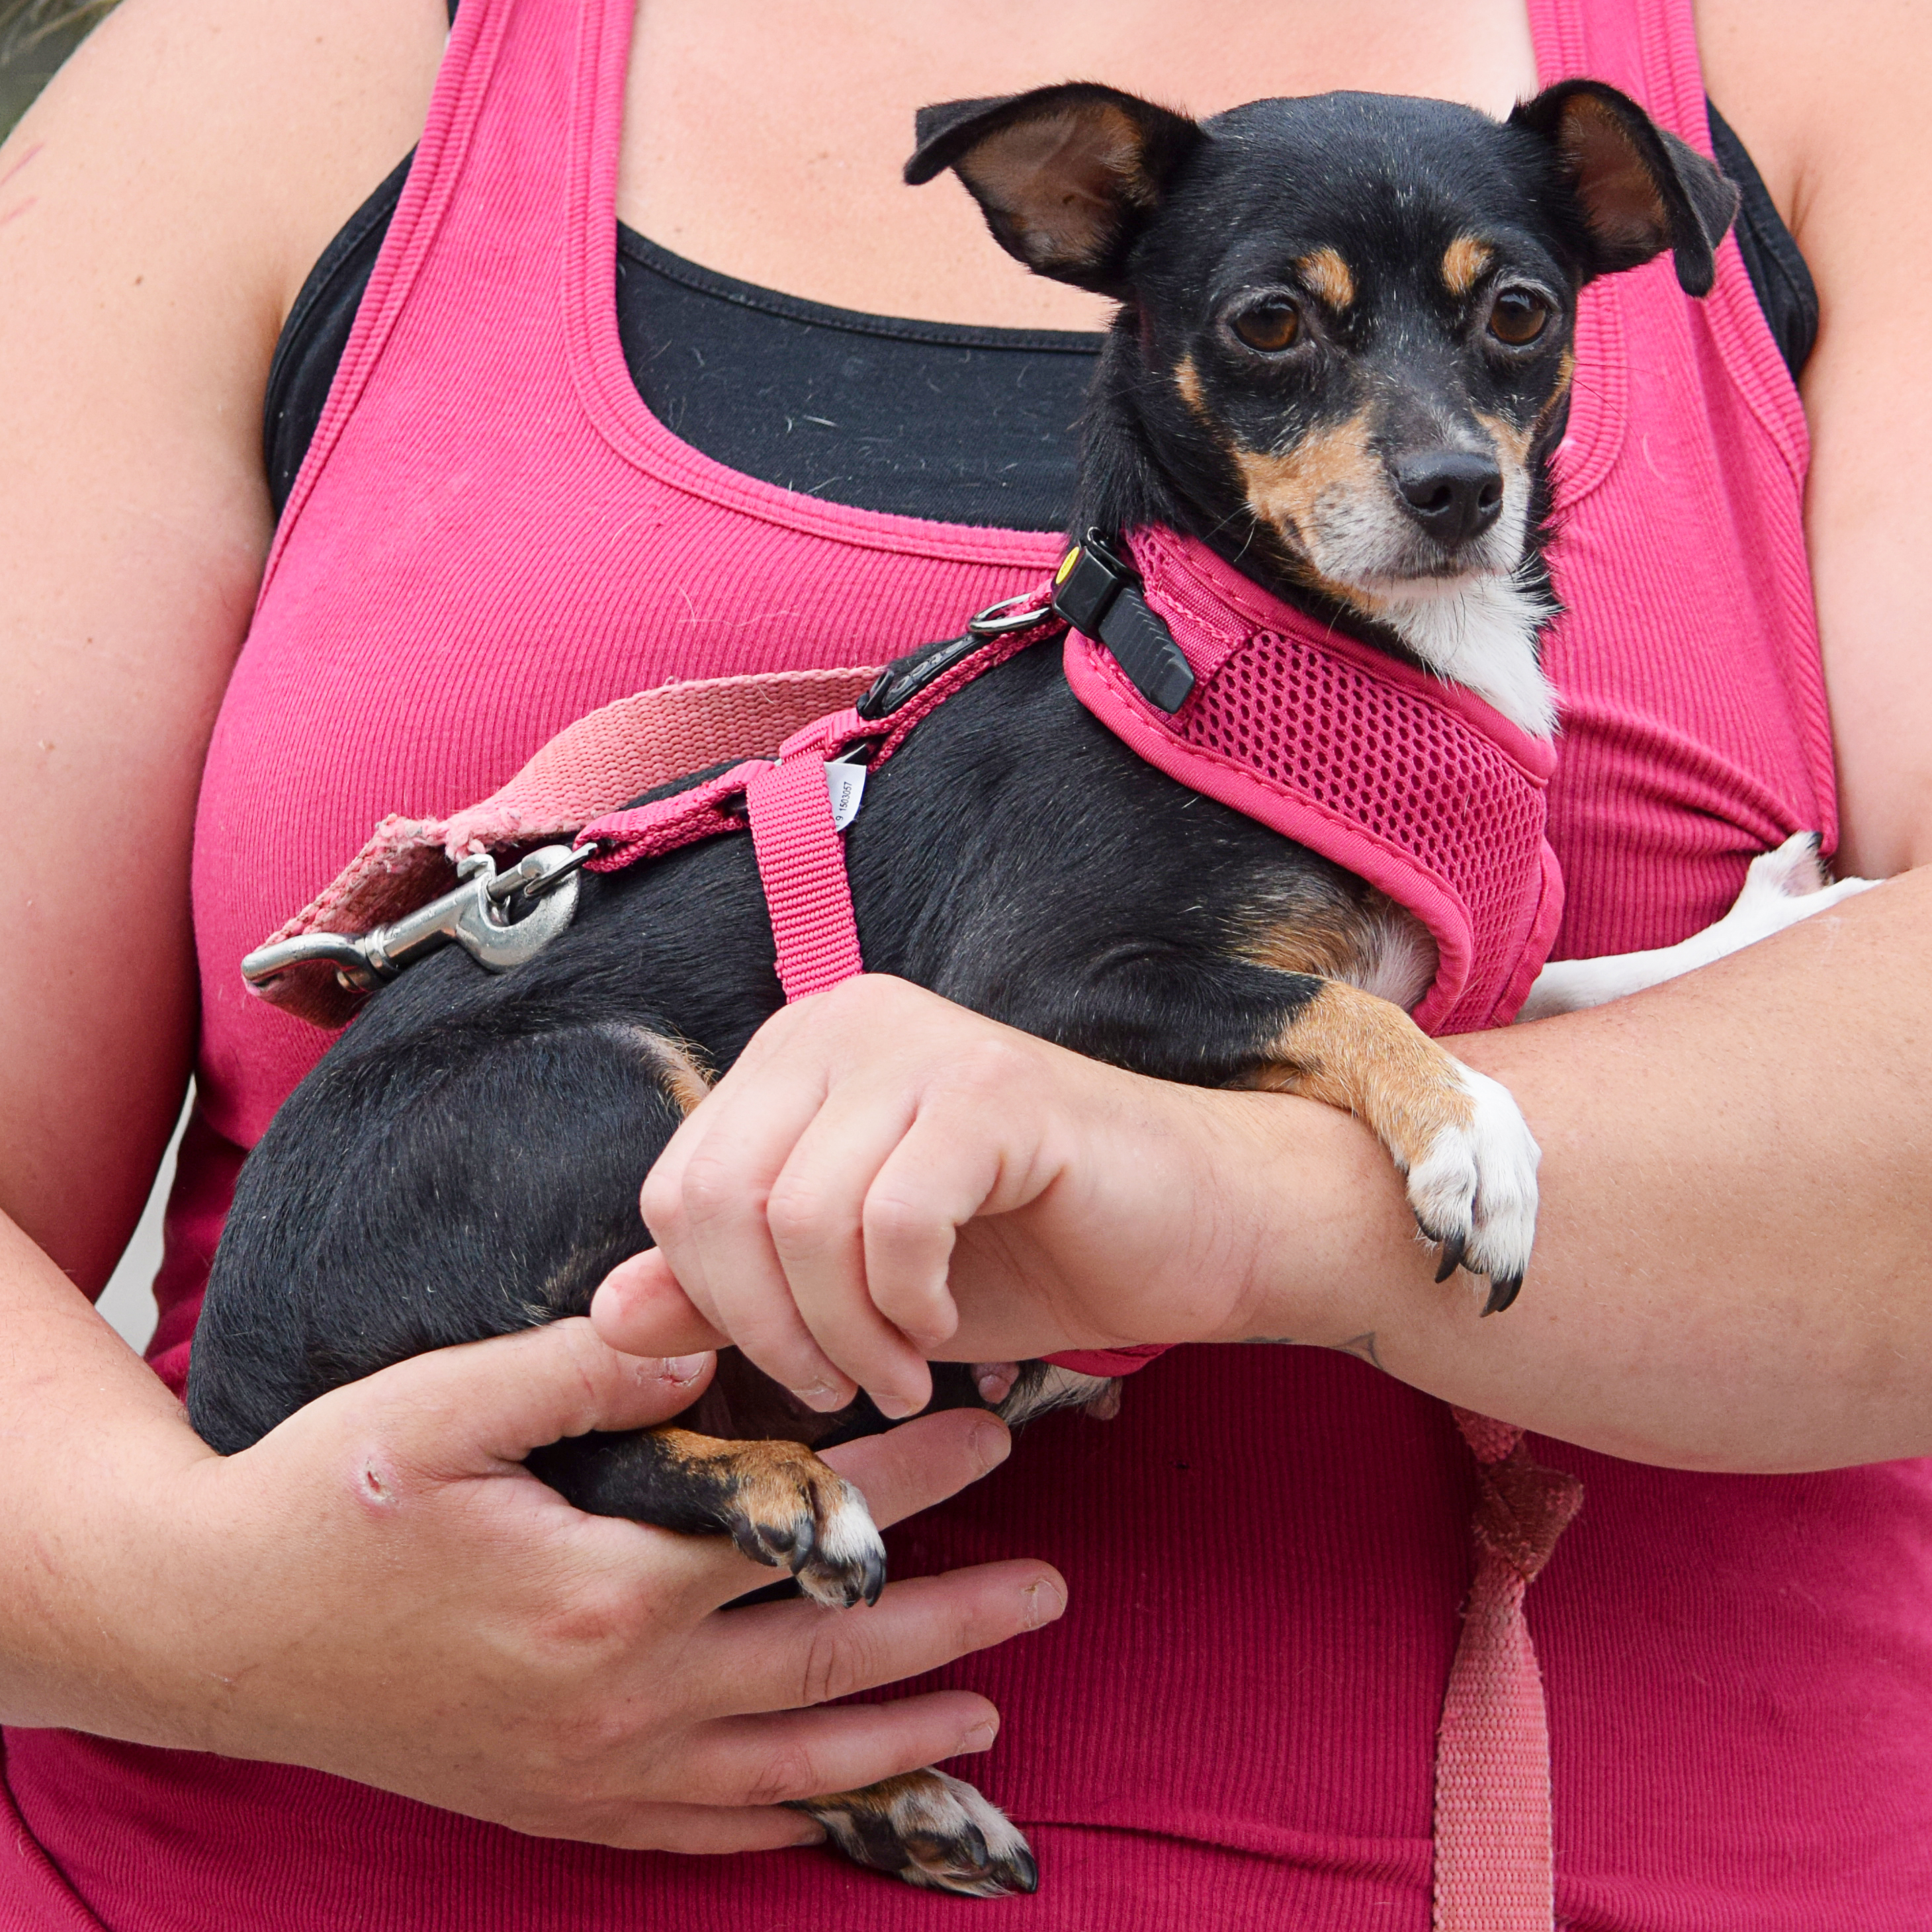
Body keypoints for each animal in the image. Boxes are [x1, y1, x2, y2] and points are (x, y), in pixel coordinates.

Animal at [188, 79, 1746, 1901]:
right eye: (1268, 325)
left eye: (1519, 313)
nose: (1454, 489)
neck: (1290, 654)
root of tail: (227, 1403)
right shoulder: (1035, 982)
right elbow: (1348, 1009)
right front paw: (1470, 1142)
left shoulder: (1452, 962)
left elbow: (1561, 981)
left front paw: (1758, 917)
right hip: (607, 1093)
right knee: (564, 1452)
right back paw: (776, 1492)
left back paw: (890, 1789)